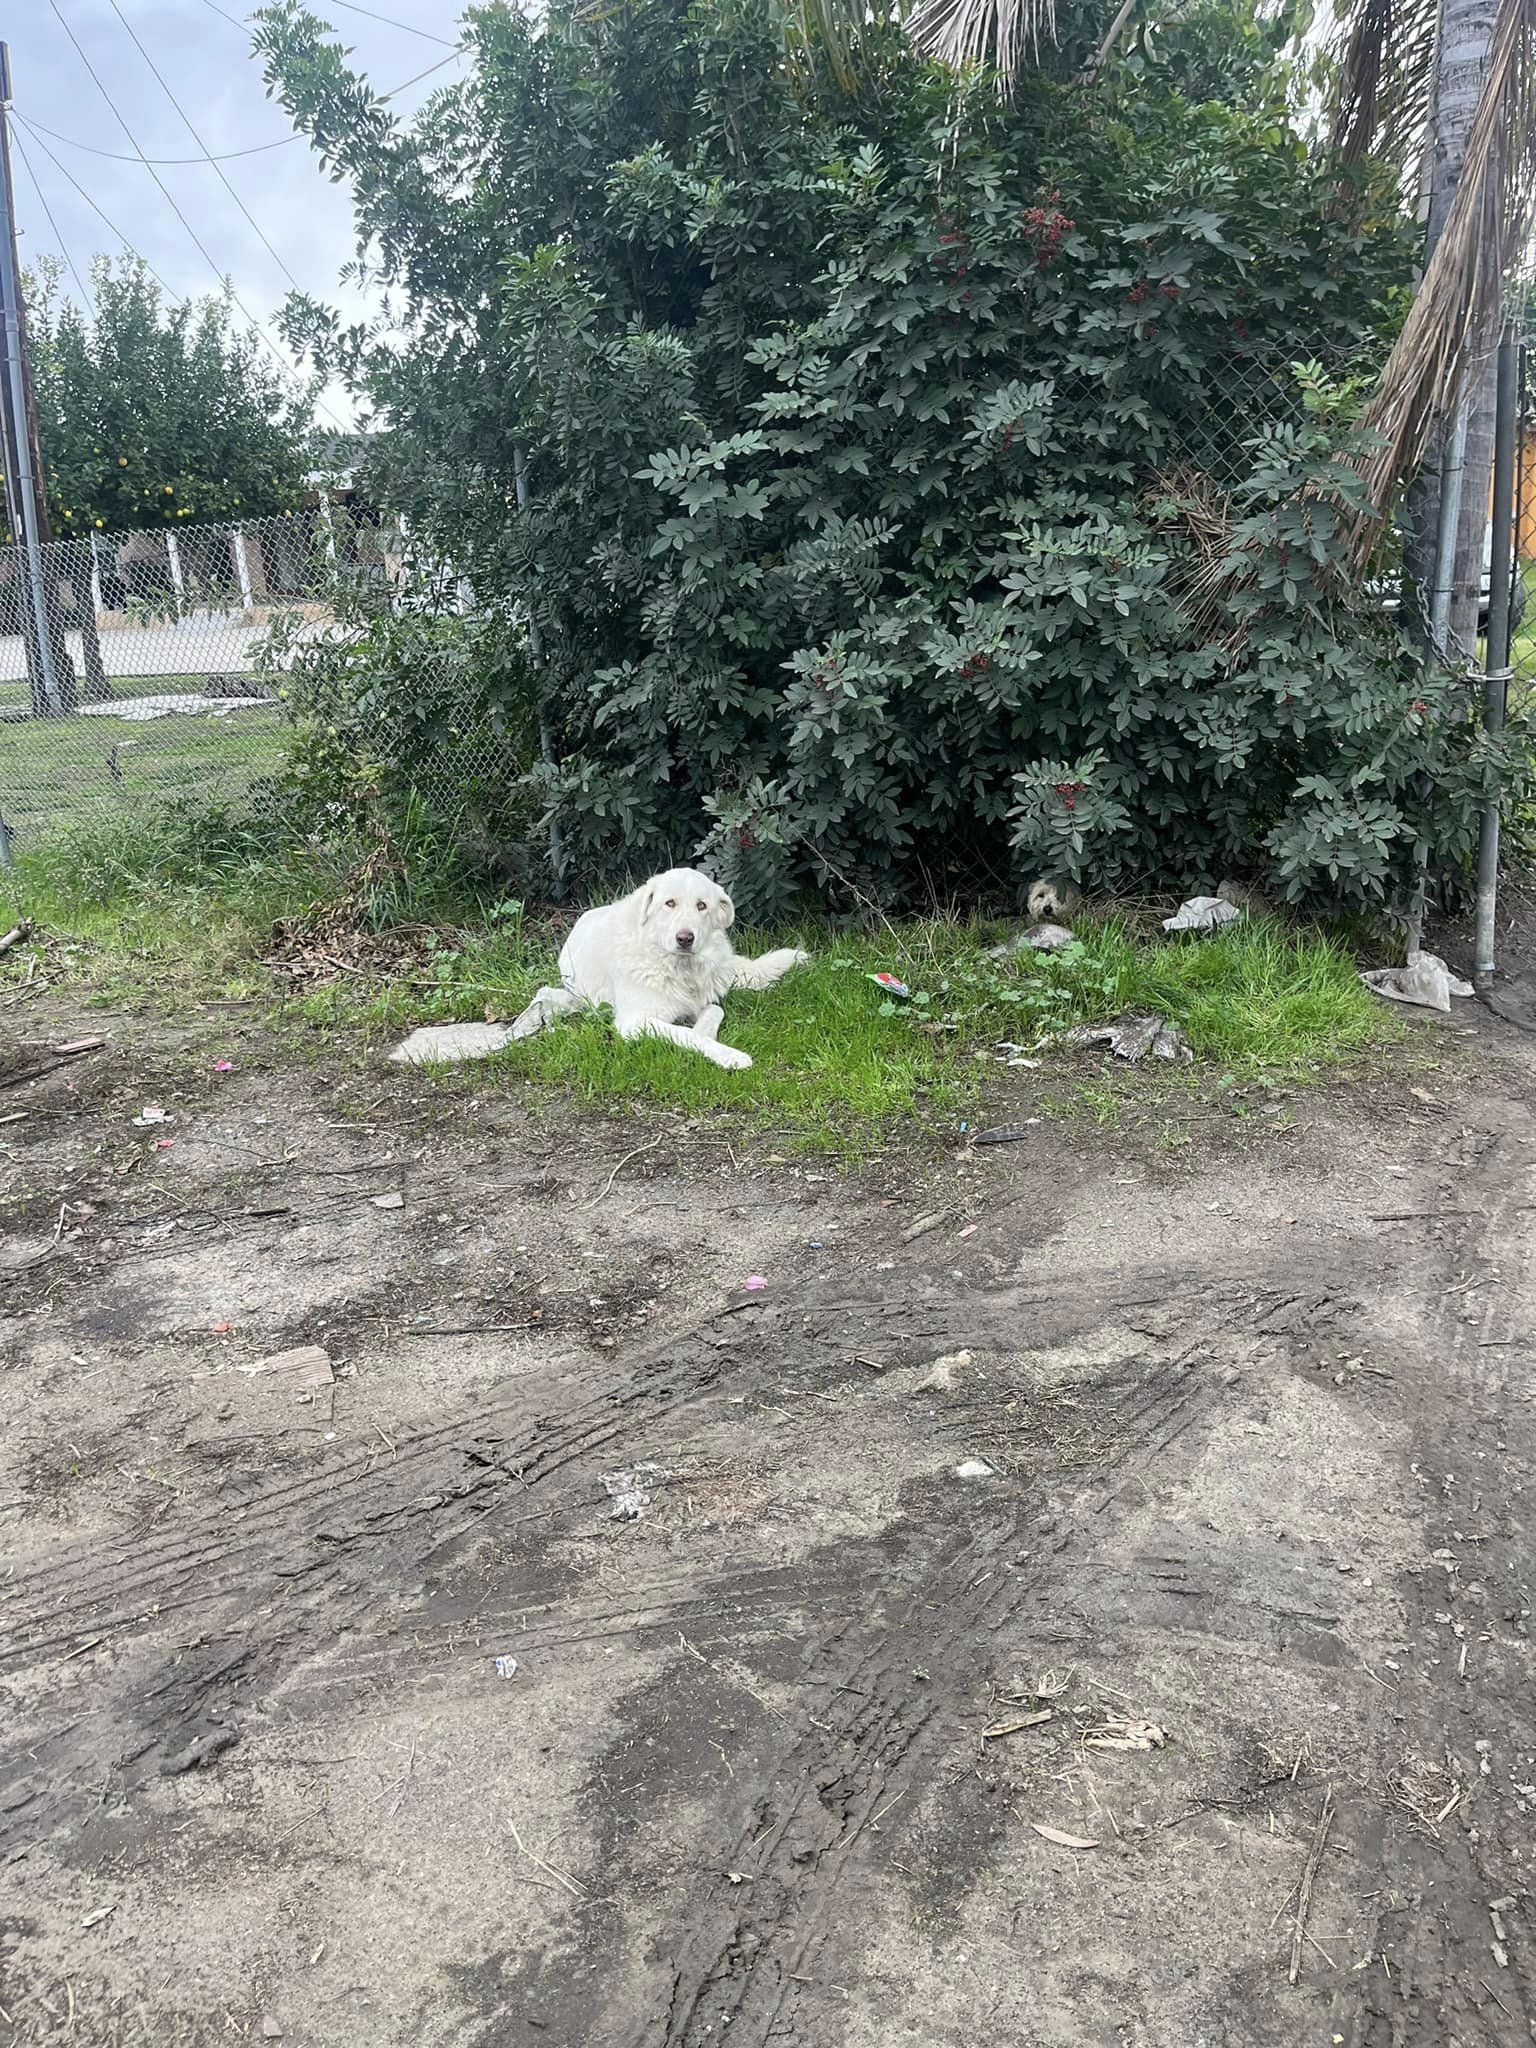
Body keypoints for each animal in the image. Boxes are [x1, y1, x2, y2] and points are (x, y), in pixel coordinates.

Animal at [512, 868, 811, 1073]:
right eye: (670, 903)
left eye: (701, 905)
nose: (685, 938)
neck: (677, 967)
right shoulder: (636, 1022)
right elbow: (686, 1034)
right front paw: (727, 1054)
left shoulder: (704, 1001)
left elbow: (714, 1011)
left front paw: (705, 1033)